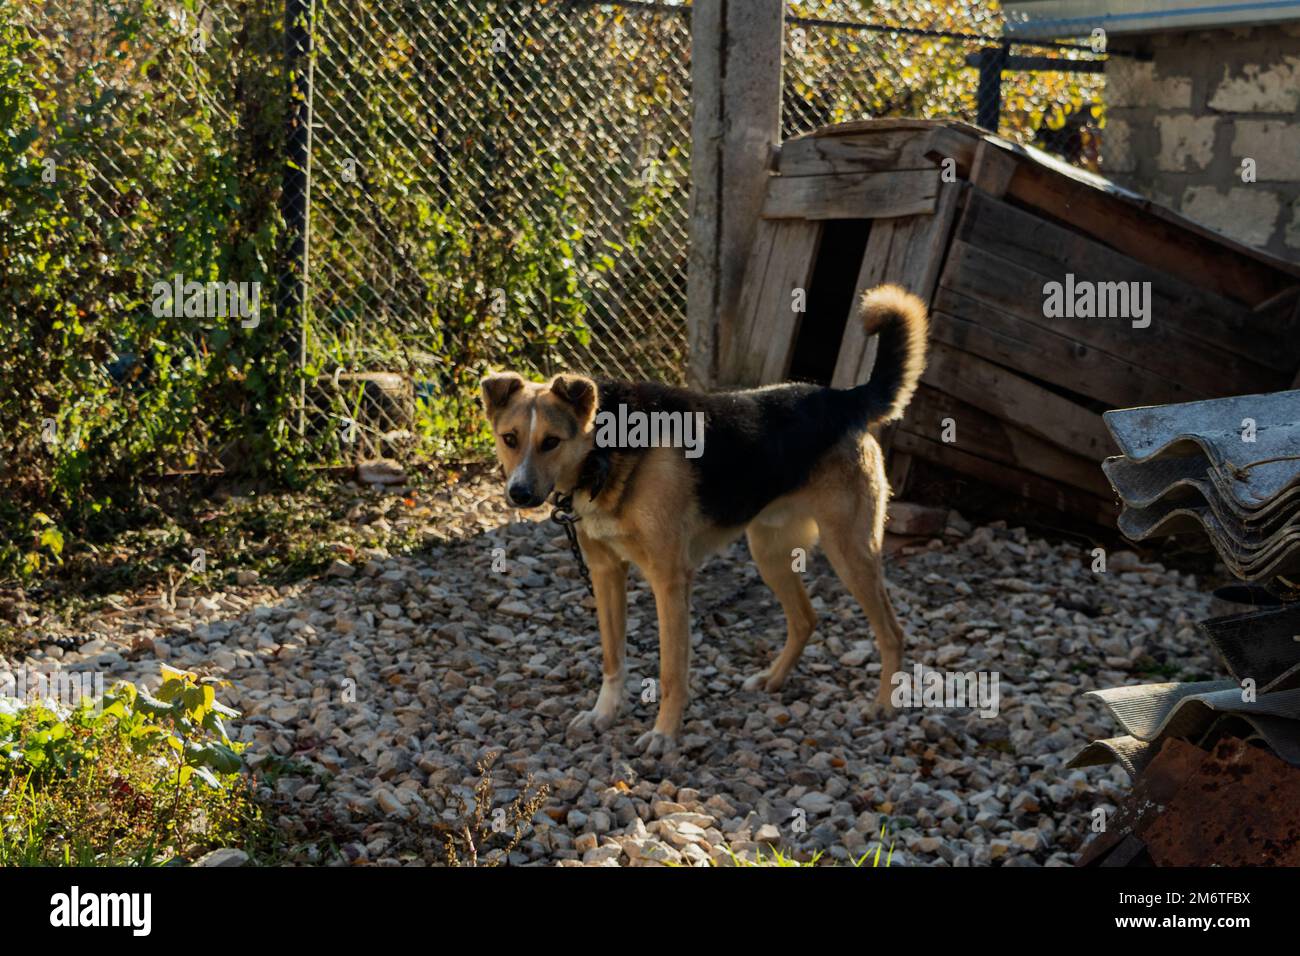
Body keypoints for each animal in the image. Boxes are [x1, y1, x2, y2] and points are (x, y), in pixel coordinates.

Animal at [483, 283, 930, 754]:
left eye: (551, 442)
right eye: (509, 439)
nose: (519, 493)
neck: (605, 450)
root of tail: (844, 398)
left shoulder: (669, 579)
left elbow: (671, 671)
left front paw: (664, 734)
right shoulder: (606, 572)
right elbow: (612, 657)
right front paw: (603, 715)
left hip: (850, 551)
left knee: (892, 633)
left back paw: (883, 705)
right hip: (770, 552)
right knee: (805, 619)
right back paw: (773, 679)